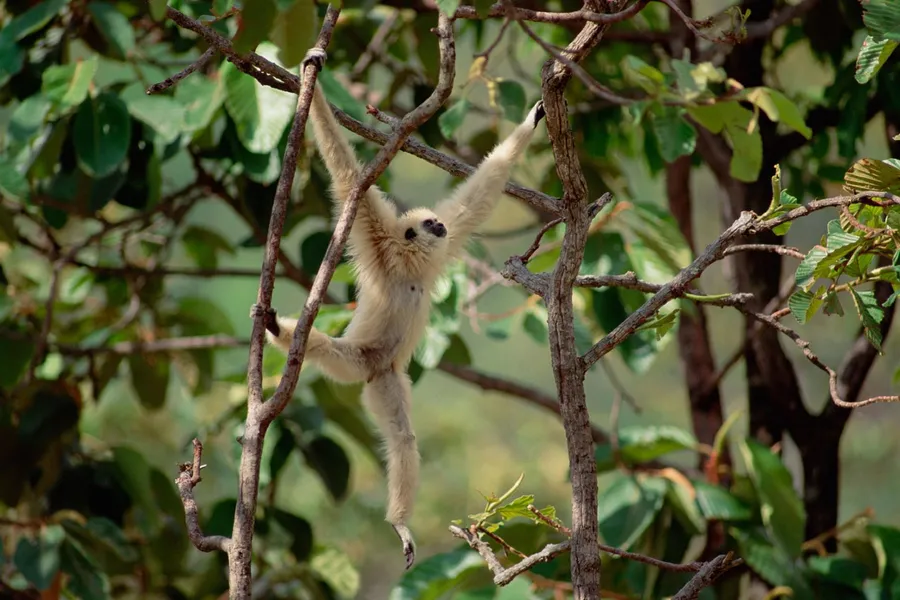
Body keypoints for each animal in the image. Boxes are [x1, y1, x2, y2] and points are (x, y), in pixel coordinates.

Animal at [256, 47, 545, 570]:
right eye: (427, 224)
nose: (437, 226)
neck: (410, 266)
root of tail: (378, 367)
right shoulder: (376, 235)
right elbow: (348, 175)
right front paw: (313, 79)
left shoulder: (441, 248)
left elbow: (477, 199)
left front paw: (535, 118)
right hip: (360, 364)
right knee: (324, 349)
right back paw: (277, 330)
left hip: (387, 379)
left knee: (403, 442)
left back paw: (400, 520)